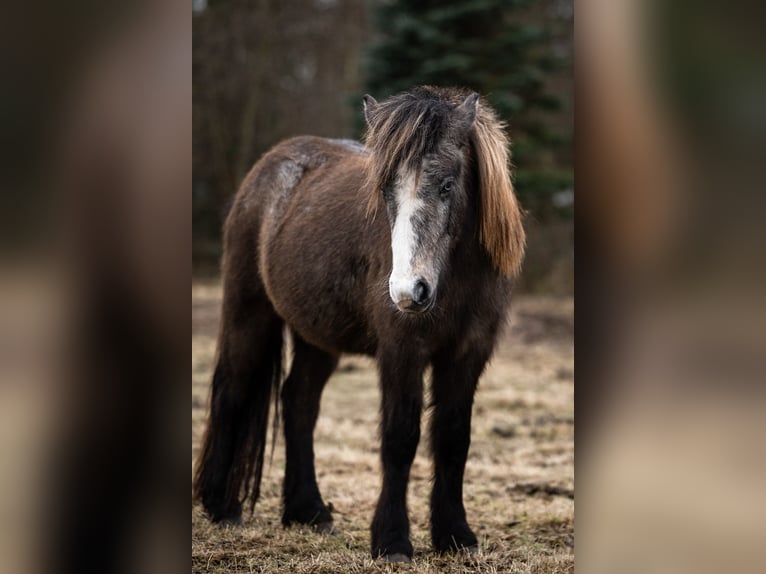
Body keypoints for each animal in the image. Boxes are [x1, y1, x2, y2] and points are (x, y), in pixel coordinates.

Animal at [193, 86, 526, 562]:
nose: (408, 292)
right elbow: (400, 438)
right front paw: (392, 541)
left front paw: (456, 537)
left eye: (447, 184)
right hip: (248, 312)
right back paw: (222, 507)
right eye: (385, 190)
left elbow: (452, 438)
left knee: (298, 402)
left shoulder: (468, 354)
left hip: (317, 339)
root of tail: (267, 169)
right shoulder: (402, 351)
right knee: (231, 391)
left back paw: (309, 512)